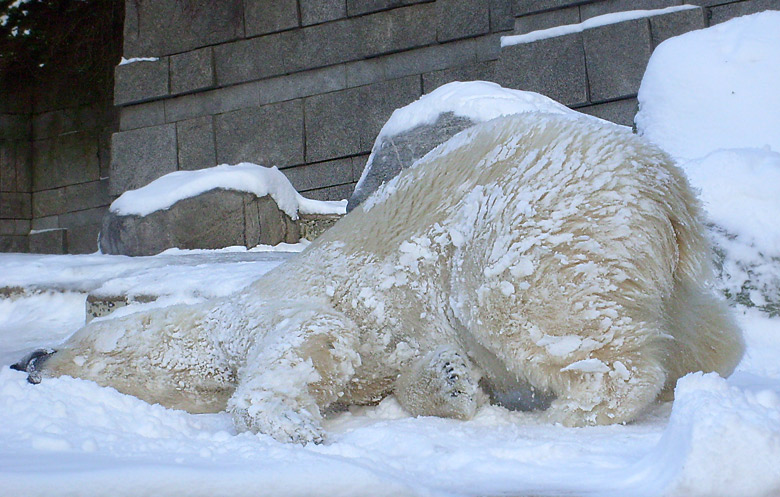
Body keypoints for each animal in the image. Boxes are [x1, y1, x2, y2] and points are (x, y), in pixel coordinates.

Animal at [13, 112, 744, 442]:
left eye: (71, 340)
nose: (28, 358)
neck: (218, 323)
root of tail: (664, 181)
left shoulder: (270, 315)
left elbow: (315, 335)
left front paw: (289, 422)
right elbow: (400, 372)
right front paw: (451, 382)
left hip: (539, 219)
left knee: (522, 303)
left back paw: (573, 411)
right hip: (635, 250)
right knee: (695, 327)